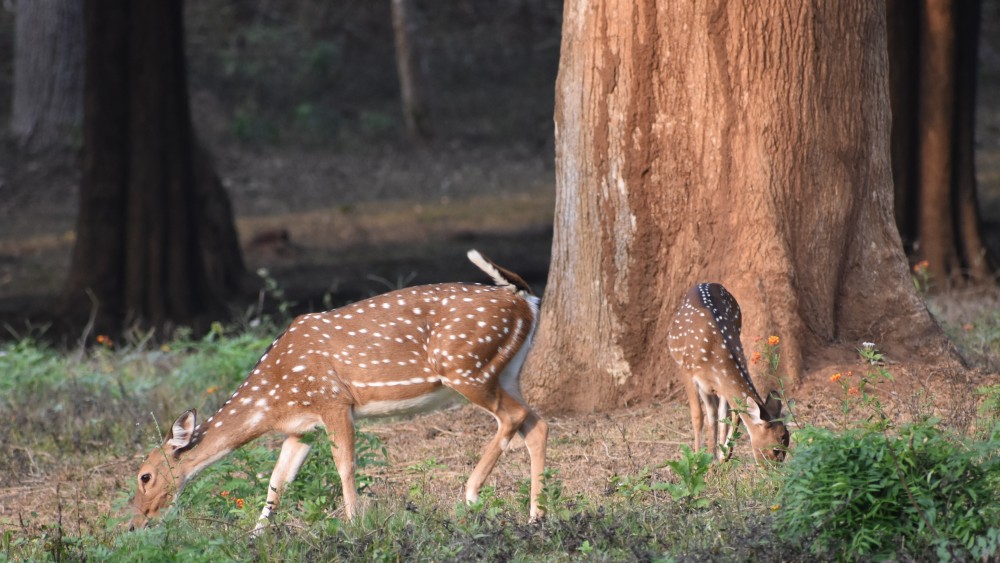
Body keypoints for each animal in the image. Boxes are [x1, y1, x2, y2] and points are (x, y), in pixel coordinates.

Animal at [129, 250, 548, 532]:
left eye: (145, 476)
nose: (135, 523)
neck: (272, 402)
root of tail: (526, 298)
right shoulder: (301, 428)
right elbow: (277, 481)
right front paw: (255, 535)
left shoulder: (334, 400)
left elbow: (345, 466)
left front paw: (354, 525)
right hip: (505, 370)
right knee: (536, 423)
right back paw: (537, 517)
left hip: (465, 367)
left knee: (513, 418)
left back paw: (472, 495)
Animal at [668, 284, 784, 464]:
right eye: (775, 449)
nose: (775, 469)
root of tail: (707, 283)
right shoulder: (687, 371)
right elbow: (697, 416)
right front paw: (697, 461)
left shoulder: (721, 379)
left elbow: (728, 415)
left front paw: (722, 456)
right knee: (710, 413)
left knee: (717, 413)